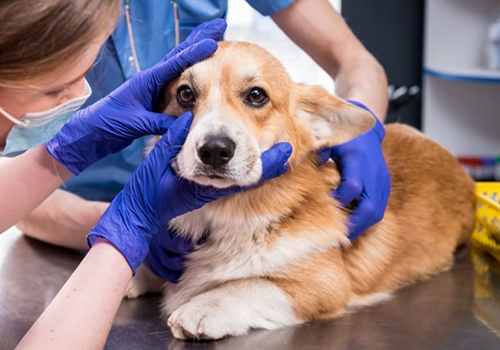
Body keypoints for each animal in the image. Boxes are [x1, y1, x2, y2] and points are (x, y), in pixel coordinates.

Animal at [126, 40, 476, 340]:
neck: (220, 214)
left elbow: (249, 285)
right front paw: (135, 274)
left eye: (256, 95)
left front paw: (204, 306)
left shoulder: (324, 285)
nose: (213, 150)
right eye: (185, 94)